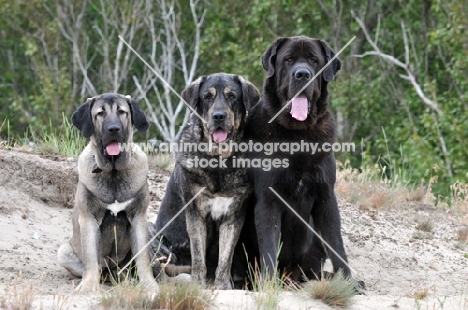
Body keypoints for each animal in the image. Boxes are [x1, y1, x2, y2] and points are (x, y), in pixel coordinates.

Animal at [155, 72, 262, 288]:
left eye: (232, 96)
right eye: (207, 97)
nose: (218, 116)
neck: (218, 161)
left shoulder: (233, 217)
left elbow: (225, 256)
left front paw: (223, 285)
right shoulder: (195, 213)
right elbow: (198, 254)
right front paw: (198, 282)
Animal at [245, 35, 352, 280]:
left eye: (313, 60)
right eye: (289, 60)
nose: (302, 74)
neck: (298, 133)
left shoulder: (326, 197)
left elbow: (336, 243)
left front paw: (348, 280)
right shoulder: (269, 199)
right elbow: (269, 247)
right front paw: (268, 282)